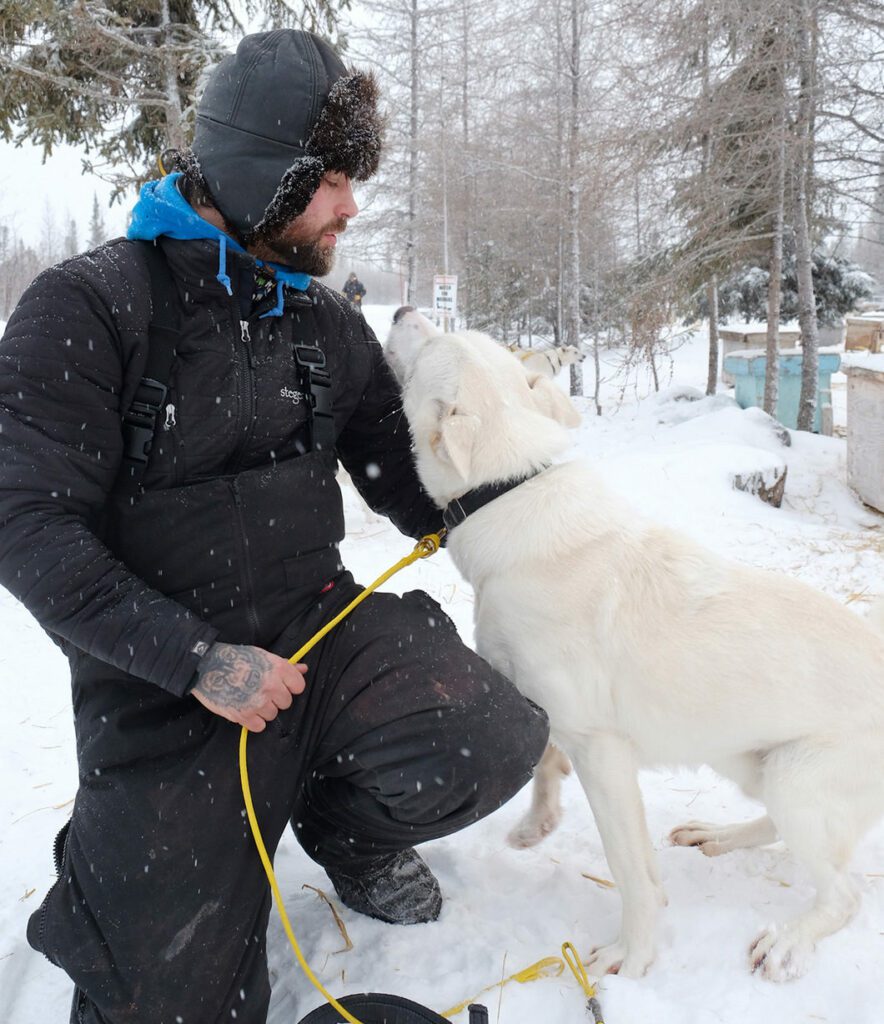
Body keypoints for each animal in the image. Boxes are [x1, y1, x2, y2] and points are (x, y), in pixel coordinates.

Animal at [398, 325, 884, 982]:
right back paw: (719, 834)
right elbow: (546, 763)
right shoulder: (548, 708)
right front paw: (536, 823)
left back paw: (789, 940)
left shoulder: (602, 751)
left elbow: (631, 871)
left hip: (796, 781)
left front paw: (633, 953)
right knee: (776, 831)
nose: (403, 311)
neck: (508, 493)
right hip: (754, 766)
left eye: (432, 345)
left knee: (844, 896)